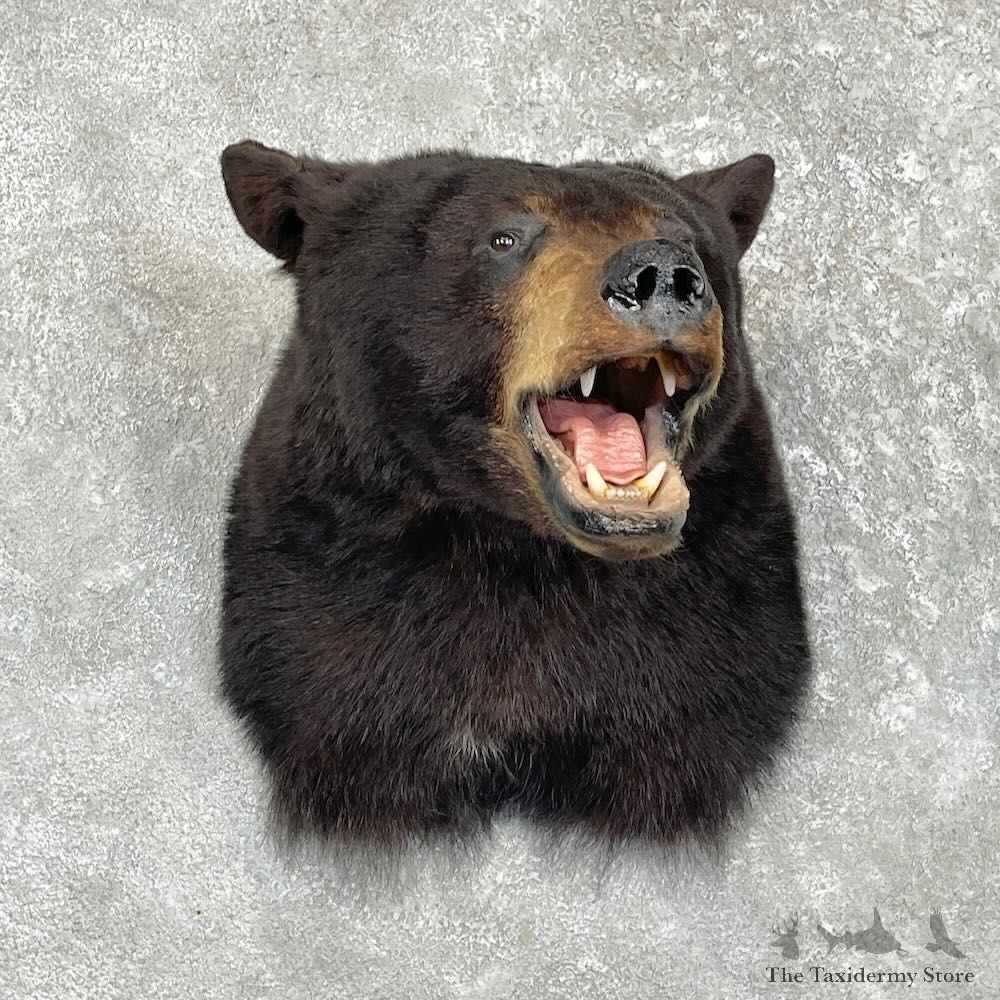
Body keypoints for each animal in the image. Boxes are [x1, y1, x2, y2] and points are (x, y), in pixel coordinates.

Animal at [218, 140, 811, 848]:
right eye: (505, 237)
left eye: (686, 237)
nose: (664, 274)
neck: (516, 552)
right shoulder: (325, 613)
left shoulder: (710, 636)